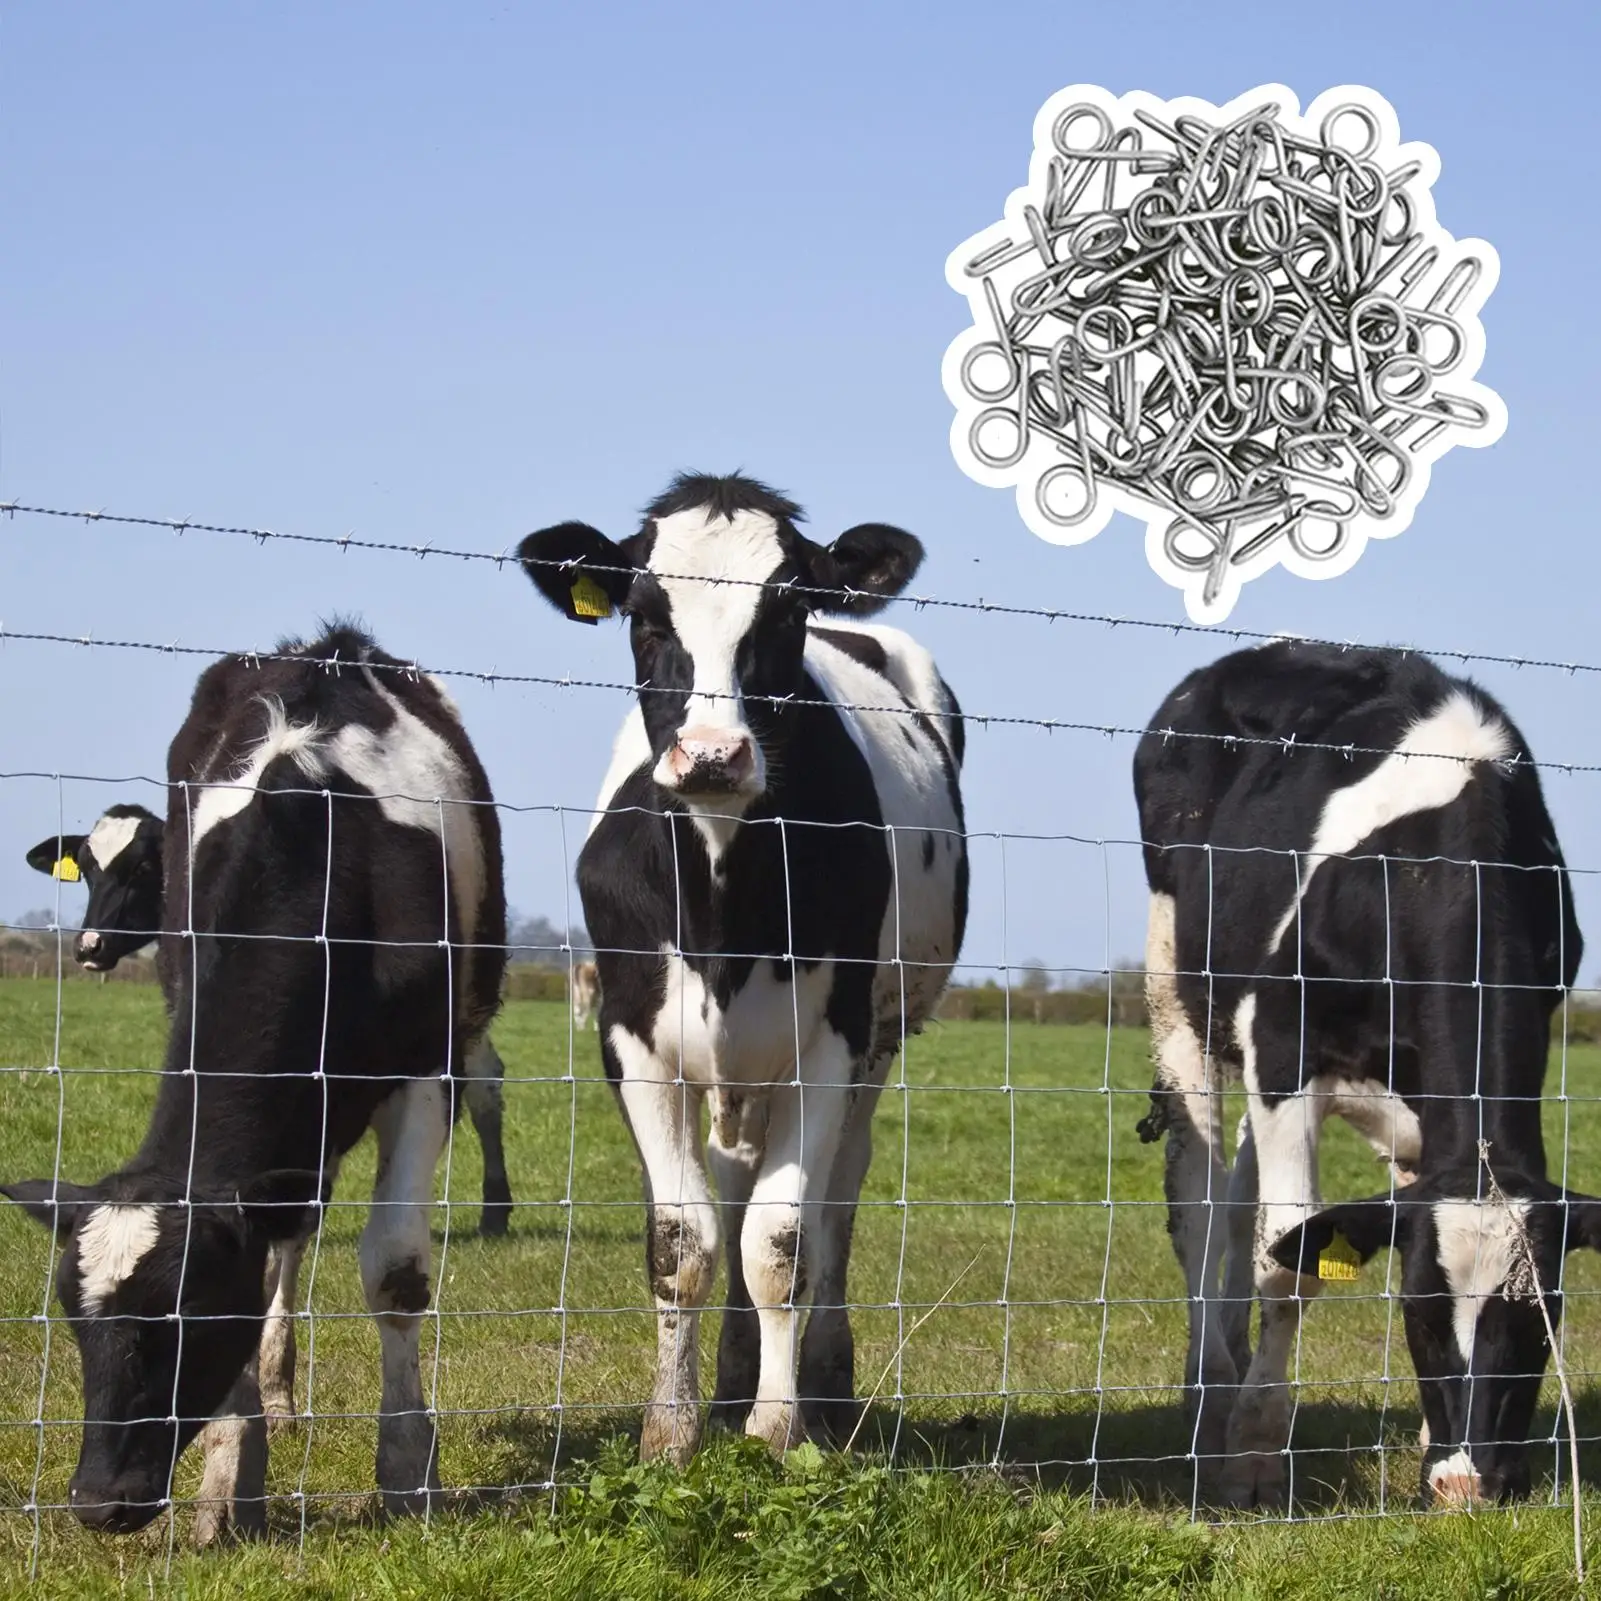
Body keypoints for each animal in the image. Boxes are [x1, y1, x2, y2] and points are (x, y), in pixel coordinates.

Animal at [517, 471, 968, 1463]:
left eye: (789, 609)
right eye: (645, 614)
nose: (714, 756)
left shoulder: (831, 1041)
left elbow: (782, 1239)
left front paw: (776, 1425)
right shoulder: (630, 1038)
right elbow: (683, 1238)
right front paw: (673, 1427)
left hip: (879, 1038)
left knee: (836, 1193)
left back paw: (822, 1380)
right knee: (730, 1179)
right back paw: (728, 1373)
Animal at [1133, 639, 1591, 1510]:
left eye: (1540, 1317)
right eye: (1419, 1314)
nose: (1467, 1483)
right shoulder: (1282, 1039)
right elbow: (1290, 1260)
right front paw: (1252, 1455)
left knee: (1239, 1202)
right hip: (1181, 987)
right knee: (1200, 1204)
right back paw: (1209, 1391)